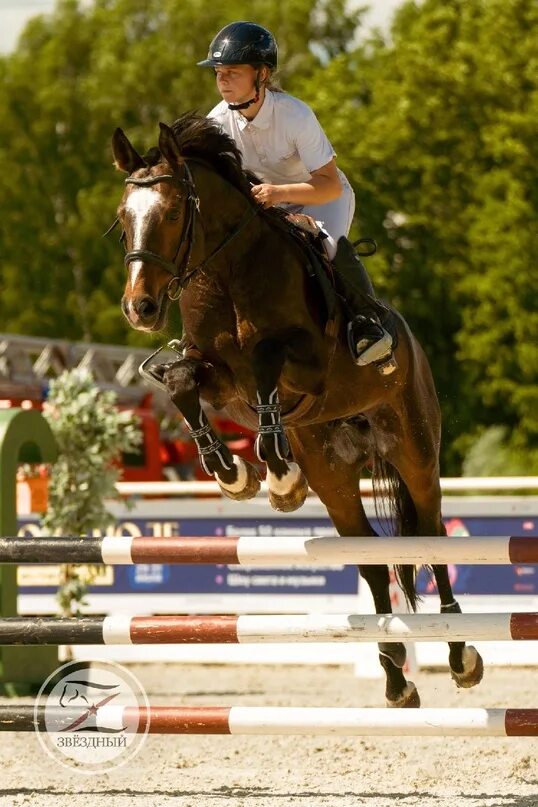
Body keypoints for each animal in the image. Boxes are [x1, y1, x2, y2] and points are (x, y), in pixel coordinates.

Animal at [110, 112, 482, 708]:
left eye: (170, 214)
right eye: (124, 220)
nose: (139, 308)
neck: (226, 271)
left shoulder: (305, 364)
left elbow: (265, 358)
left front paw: (279, 478)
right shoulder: (216, 378)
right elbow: (182, 382)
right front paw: (235, 473)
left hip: (415, 449)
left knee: (432, 534)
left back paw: (459, 653)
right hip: (333, 473)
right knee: (371, 560)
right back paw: (396, 678)